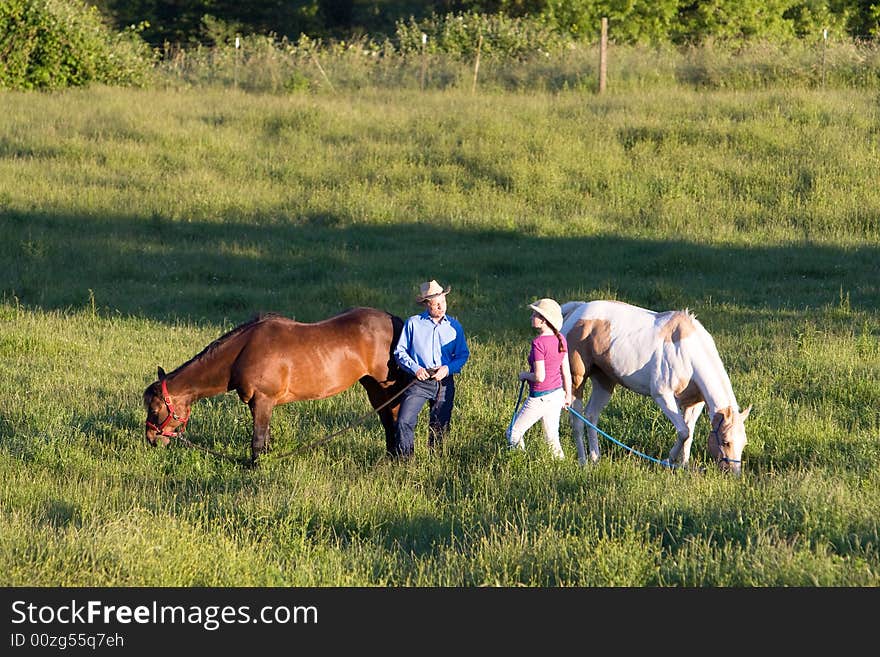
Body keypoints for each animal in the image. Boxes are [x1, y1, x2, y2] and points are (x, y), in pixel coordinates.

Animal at [142, 306, 410, 464]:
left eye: (154, 409)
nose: (151, 440)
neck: (243, 351)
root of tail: (396, 320)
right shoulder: (257, 403)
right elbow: (266, 437)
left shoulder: (263, 399)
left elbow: (258, 439)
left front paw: (255, 468)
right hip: (373, 387)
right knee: (387, 420)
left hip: (386, 386)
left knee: (396, 417)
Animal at [564, 300, 748, 474]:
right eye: (726, 441)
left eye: (744, 442)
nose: (734, 473)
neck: (686, 352)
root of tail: (577, 311)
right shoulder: (663, 396)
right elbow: (683, 432)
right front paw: (669, 461)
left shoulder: (694, 403)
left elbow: (689, 432)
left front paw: (683, 465)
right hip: (576, 380)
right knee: (577, 420)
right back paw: (583, 461)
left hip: (604, 382)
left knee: (591, 415)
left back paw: (595, 458)